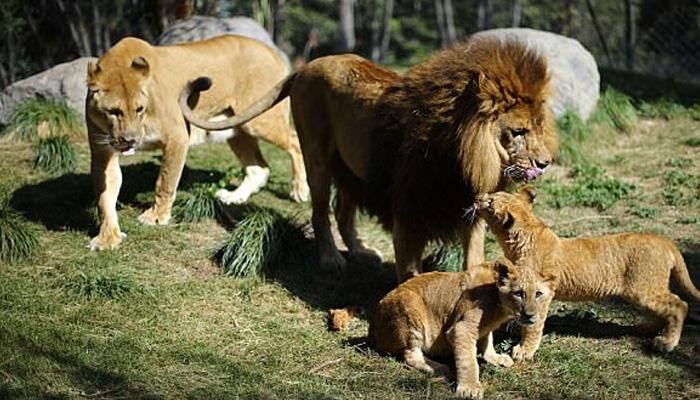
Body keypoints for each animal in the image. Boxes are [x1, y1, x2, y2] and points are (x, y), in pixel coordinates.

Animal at [85, 36, 308, 252]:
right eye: (114, 111)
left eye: (139, 109)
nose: (130, 140)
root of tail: (273, 51)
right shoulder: (102, 152)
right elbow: (105, 196)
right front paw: (107, 238)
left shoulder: (177, 137)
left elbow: (165, 181)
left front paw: (156, 217)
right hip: (236, 129)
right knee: (259, 168)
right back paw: (233, 197)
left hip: (259, 122)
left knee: (295, 142)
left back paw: (299, 191)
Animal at [180, 37, 556, 282]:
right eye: (518, 131)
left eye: (539, 127)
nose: (545, 163)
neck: (463, 158)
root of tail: (307, 65)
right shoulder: (408, 211)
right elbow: (409, 271)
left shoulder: (469, 211)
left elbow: (473, 261)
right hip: (316, 154)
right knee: (321, 213)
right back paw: (330, 259)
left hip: (351, 170)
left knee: (343, 214)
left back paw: (360, 251)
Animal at [370, 258, 556, 398]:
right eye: (518, 294)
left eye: (538, 294)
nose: (531, 315)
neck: (499, 305)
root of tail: (372, 328)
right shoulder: (461, 329)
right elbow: (468, 360)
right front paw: (469, 388)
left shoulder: (484, 328)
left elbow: (487, 341)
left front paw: (495, 358)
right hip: (410, 307)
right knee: (410, 354)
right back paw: (440, 368)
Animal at [476, 188, 700, 356]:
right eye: (492, 194)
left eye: (490, 202)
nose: (477, 197)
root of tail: (665, 241)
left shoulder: (543, 292)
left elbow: (534, 325)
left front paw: (523, 351)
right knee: (665, 308)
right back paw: (646, 328)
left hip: (643, 289)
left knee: (679, 305)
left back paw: (666, 342)